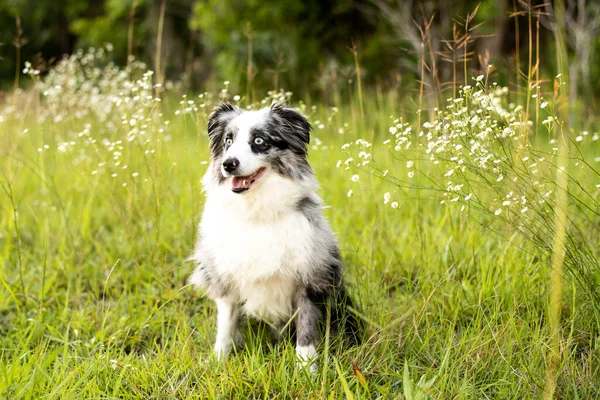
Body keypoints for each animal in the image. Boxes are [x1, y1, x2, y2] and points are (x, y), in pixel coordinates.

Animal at [190, 101, 358, 370]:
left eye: (259, 141)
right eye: (228, 140)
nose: (228, 164)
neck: (258, 214)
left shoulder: (309, 278)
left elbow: (306, 329)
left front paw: (305, 370)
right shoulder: (225, 279)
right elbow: (226, 325)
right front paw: (219, 360)